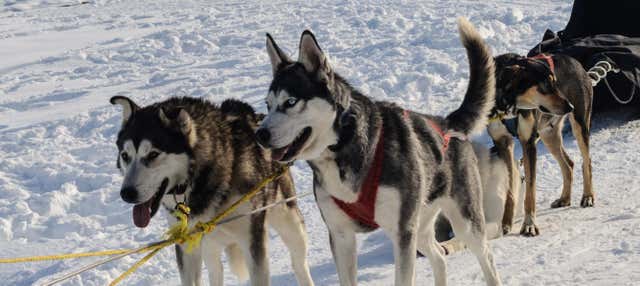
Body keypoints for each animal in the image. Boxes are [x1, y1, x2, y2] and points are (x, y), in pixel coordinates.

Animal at [110, 96, 316, 286]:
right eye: (125, 156)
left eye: (153, 154)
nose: (127, 194)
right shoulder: (187, 246)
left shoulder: (252, 242)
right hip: (209, 247)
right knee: (215, 271)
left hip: (289, 222)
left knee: (299, 263)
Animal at [255, 19, 500, 284]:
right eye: (268, 106)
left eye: (290, 102)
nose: (260, 134)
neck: (343, 146)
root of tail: (447, 125)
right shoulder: (341, 236)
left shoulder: (402, 233)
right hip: (421, 227)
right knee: (439, 257)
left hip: (464, 224)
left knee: (487, 258)